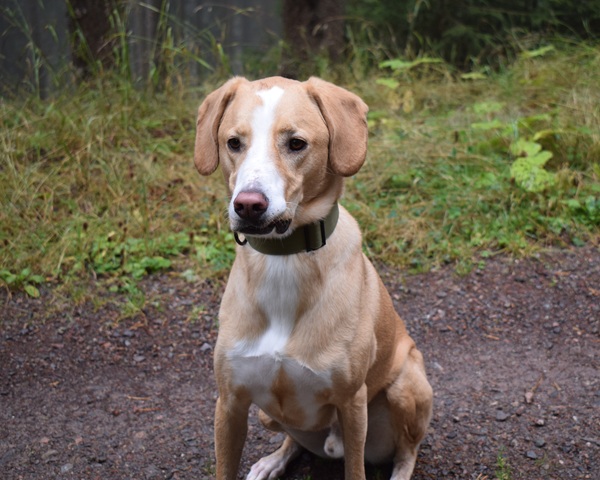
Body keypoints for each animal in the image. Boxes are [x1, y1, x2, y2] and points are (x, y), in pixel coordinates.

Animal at [194, 76, 433, 480]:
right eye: (233, 143)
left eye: (296, 143)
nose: (248, 206)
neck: (285, 260)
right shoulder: (229, 403)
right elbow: (225, 467)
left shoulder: (352, 402)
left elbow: (356, 470)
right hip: (267, 416)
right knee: (293, 440)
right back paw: (272, 461)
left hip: (407, 386)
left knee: (407, 451)